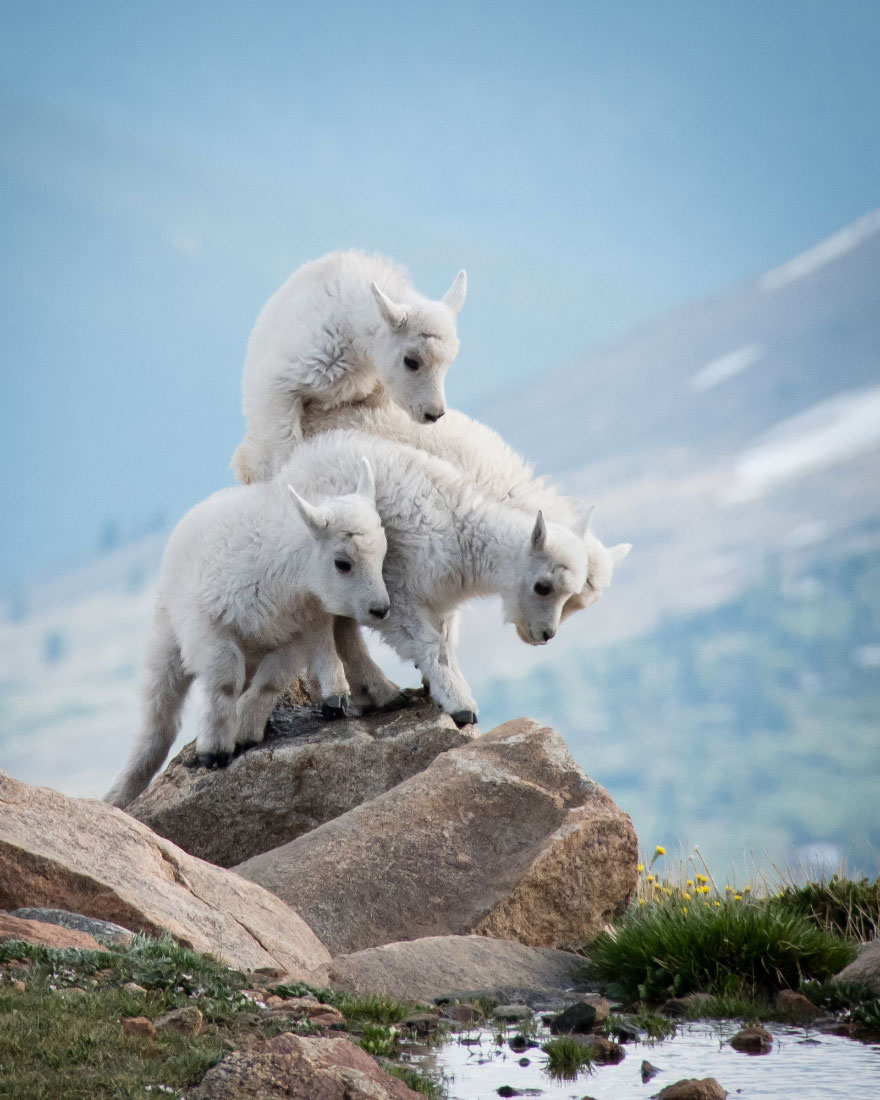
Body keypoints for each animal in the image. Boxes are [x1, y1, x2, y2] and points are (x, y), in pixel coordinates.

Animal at [105, 457, 387, 809]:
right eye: (342, 563)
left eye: (383, 554)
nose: (381, 609)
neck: (287, 575)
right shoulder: (210, 627)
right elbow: (225, 681)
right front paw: (214, 750)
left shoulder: (294, 634)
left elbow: (270, 682)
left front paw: (245, 731)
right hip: (167, 631)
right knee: (160, 715)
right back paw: (120, 792)